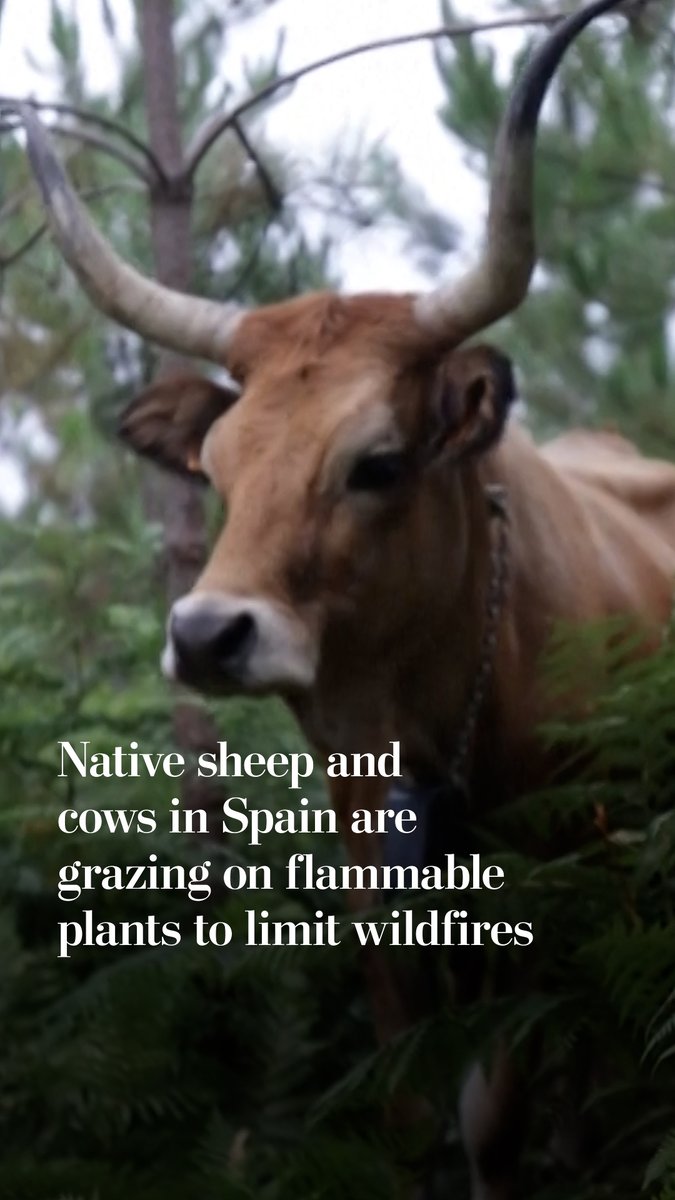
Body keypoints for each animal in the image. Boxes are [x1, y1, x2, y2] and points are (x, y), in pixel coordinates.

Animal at [18, 0, 675, 1195]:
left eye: (376, 463)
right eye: (216, 467)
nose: (208, 634)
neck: (417, 709)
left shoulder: (528, 897)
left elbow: (490, 1118)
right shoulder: (374, 894)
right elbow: (409, 1107)